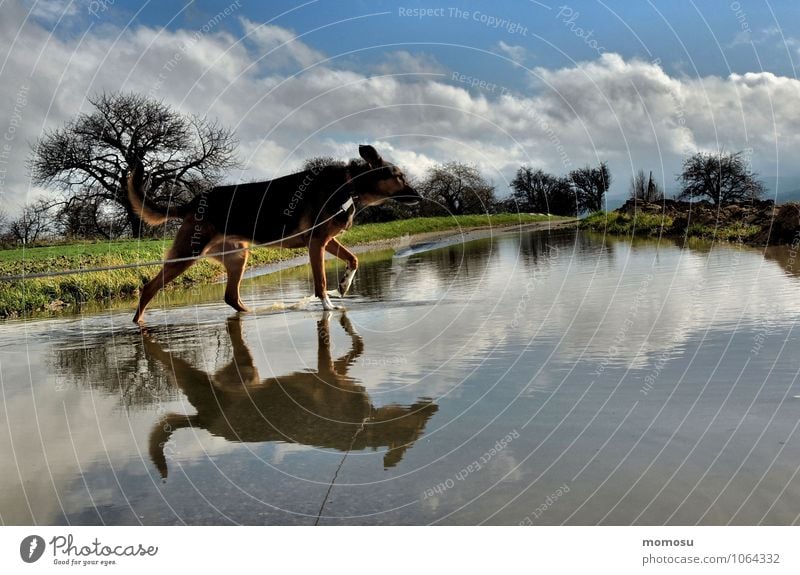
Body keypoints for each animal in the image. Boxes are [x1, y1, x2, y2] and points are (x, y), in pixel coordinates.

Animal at [126, 144, 418, 324]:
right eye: (399, 176)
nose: (419, 197)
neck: (349, 185)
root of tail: (194, 201)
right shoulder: (316, 244)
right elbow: (321, 283)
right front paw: (328, 307)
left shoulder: (325, 241)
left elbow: (353, 259)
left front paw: (345, 284)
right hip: (188, 253)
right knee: (149, 287)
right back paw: (138, 322)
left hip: (237, 256)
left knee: (231, 297)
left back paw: (256, 313)